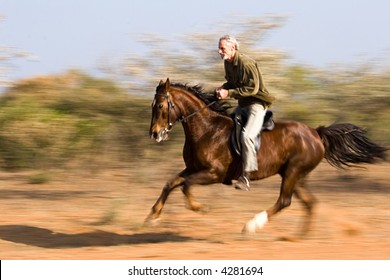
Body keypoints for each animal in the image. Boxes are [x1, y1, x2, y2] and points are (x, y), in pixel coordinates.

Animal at [146, 77, 386, 235]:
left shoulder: (213, 173)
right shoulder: (193, 169)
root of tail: (316, 133)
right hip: (296, 176)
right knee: (309, 203)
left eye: (161, 105)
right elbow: (171, 183)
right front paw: (153, 216)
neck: (206, 129)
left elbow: (185, 185)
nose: (154, 134)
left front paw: (199, 208)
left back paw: (250, 226)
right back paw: (299, 237)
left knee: (284, 201)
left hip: (293, 172)